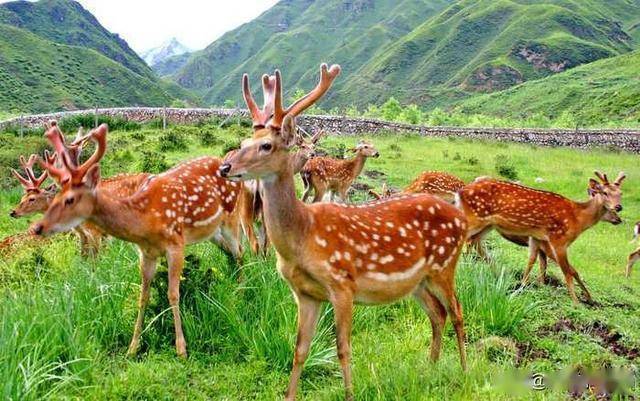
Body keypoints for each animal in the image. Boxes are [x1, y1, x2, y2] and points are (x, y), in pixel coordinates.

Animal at [32, 122, 248, 356]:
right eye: (55, 197)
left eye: (70, 199)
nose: (37, 227)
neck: (145, 222)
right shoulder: (146, 253)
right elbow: (143, 296)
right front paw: (133, 347)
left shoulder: (176, 243)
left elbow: (173, 293)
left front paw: (181, 348)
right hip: (212, 233)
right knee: (231, 252)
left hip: (232, 218)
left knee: (240, 251)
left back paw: (241, 291)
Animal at [222, 64, 468, 398]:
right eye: (245, 142)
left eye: (266, 145)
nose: (225, 167)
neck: (302, 238)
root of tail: (462, 219)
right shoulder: (305, 293)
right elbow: (300, 350)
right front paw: (289, 395)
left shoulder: (342, 284)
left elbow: (343, 348)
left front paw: (350, 394)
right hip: (418, 281)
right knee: (438, 314)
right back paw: (430, 368)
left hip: (445, 266)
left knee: (457, 312)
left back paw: (465, 371)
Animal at [460, 170, 624, 302]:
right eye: (605, 192)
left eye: (620, 194)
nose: (619, 208)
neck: (577, 219)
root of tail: (463, 190)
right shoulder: (558, 240)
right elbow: (568, 271)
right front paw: (576, 302)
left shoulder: (537, 238)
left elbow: (533, 262)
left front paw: (523, 286)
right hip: (475, 218)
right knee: (466, 241)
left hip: (488, 225)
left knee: (475, 242)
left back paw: (493, 271)